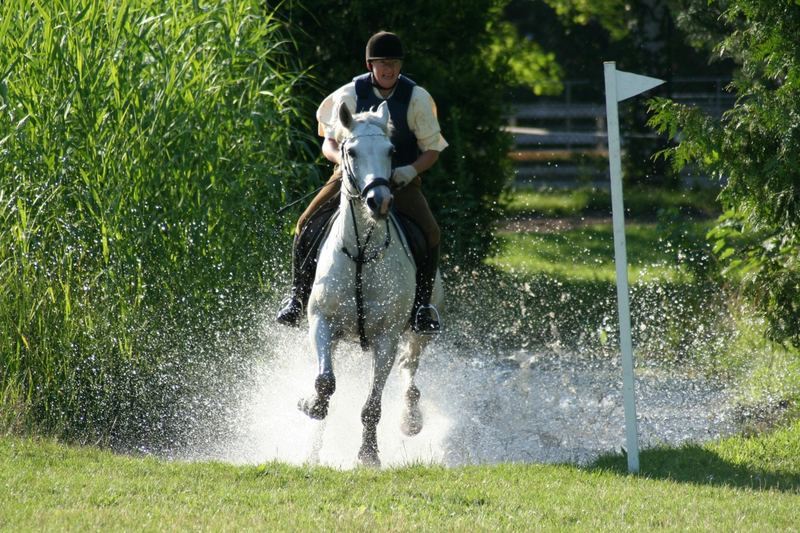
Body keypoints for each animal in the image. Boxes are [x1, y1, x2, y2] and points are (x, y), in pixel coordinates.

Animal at [296, 100, 444, 466]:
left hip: (421, 328)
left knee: (410, 368)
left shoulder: (386, 338)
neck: (362, 253)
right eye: (351, 151)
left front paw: (368, 455)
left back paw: (411, 420)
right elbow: (325, 384)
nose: (380, 201)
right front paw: (311, 409)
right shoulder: (321, 322)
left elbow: (372, 406)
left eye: (391, 151)